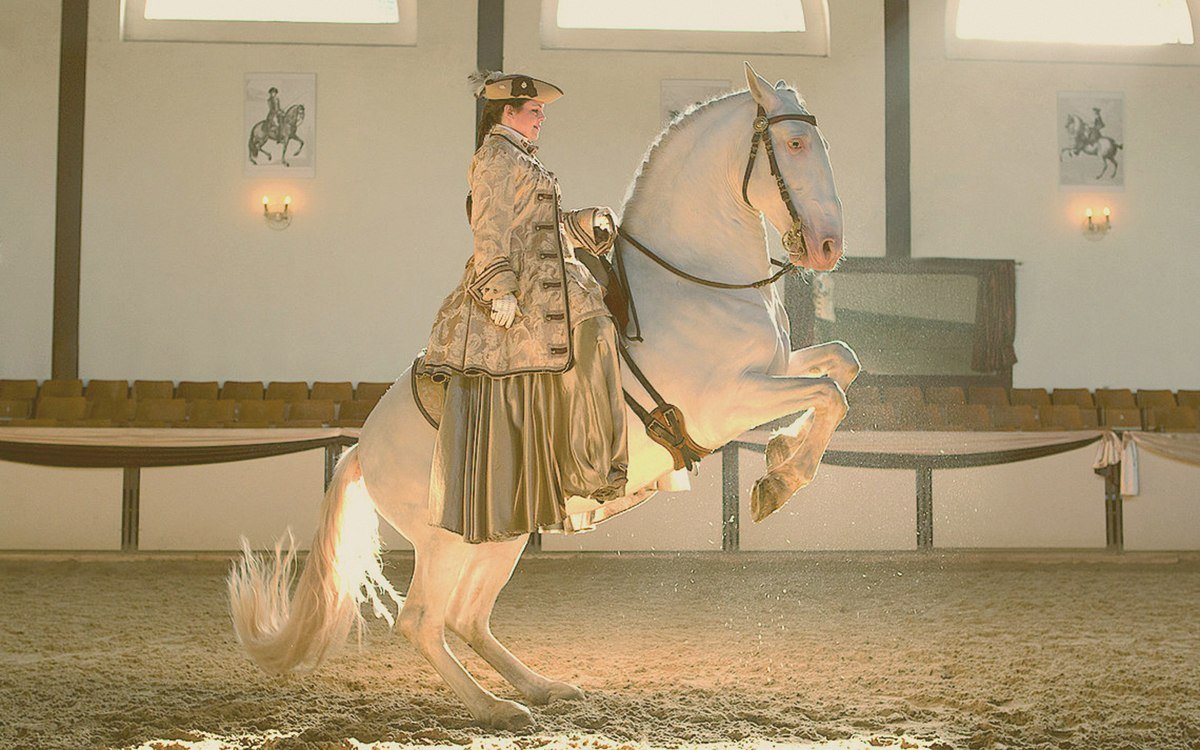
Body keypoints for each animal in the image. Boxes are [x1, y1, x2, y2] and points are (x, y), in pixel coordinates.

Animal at [226, 61, 854, 729]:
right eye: (794, 144)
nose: (828, 247)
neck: (692, 282)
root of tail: (360, 449)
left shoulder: (776, 368)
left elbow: (841, 365)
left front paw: (781, 458)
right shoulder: (731, 401)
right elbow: (829, 393)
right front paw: (779, 481)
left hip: (496, 536)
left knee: (466, 618)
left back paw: (543, 688)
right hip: (444, 541)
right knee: (423, 621)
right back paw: (494, 708)